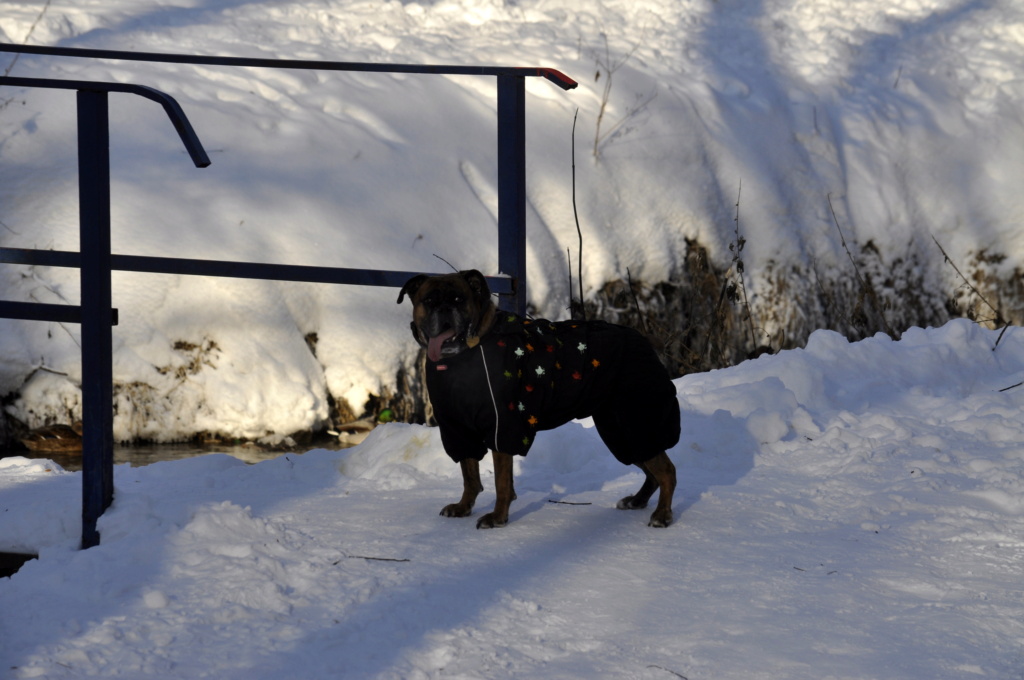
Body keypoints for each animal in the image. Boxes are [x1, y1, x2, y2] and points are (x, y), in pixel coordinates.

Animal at [397, 268, 679, 528]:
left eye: (458, 299)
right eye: (429, 301)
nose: (444, 310)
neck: (462, 356)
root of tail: (643, 339)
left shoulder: (504, 427)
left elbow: (501, 481)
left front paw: (497, 517)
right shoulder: (458, 429)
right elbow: (470, 476)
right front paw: (464, 507)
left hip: (637, 420)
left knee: (666, 471)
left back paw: (662, 515)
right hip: (619, 431)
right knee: (651, 468)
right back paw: (638, 501)